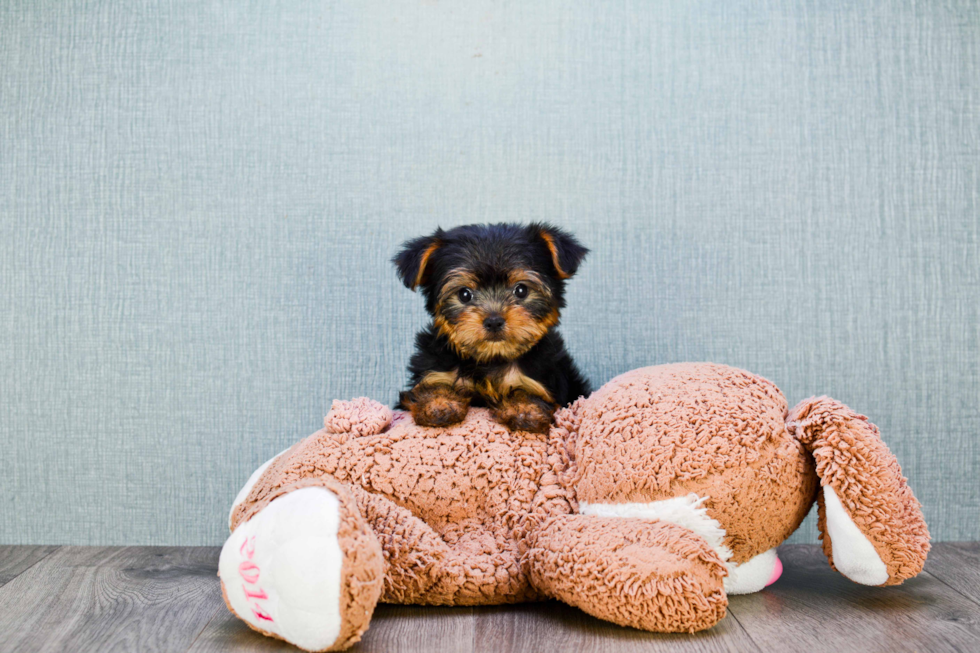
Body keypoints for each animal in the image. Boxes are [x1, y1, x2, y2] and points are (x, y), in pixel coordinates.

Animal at [390, 223, 588, 432]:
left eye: (521, 290)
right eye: (464, 294)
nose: (494, 321)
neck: (491, 359)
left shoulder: (543, 382)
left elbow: (528, 392)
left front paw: (525, 410)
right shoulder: (432, 371)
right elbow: (433, 386)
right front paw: (438, 404)